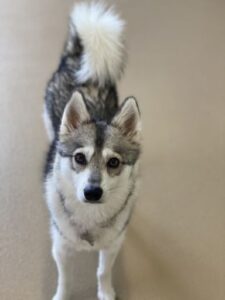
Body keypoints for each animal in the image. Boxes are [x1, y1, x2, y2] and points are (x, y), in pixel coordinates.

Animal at [43, 2, 142, 300]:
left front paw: (106, 293)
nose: (92, 192)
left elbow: (102, 272)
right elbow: (64, 278)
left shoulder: (112, 246)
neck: (90, 216)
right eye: (79, 158)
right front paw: (62, 296)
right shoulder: (61, 248)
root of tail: (78, 58)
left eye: (114, 162)